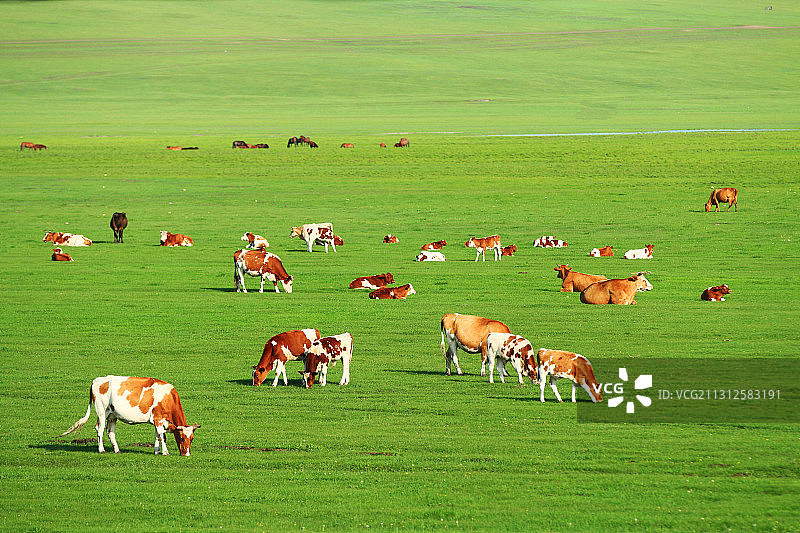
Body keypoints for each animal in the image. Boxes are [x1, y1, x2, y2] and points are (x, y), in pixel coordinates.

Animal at [57, 376, 199, 456]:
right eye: (181, 438)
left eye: (192, 439)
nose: (186, 454)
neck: (168, 398)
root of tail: (97, 380)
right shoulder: (158, 419)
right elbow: (162, 436)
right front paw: (165, 452)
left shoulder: (158, 421)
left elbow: (157, 436)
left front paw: (156, 451)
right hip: (101, 411)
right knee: (100, 429)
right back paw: (101, 449)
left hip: (112, 415)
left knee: (110, 431)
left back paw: (117, 450)